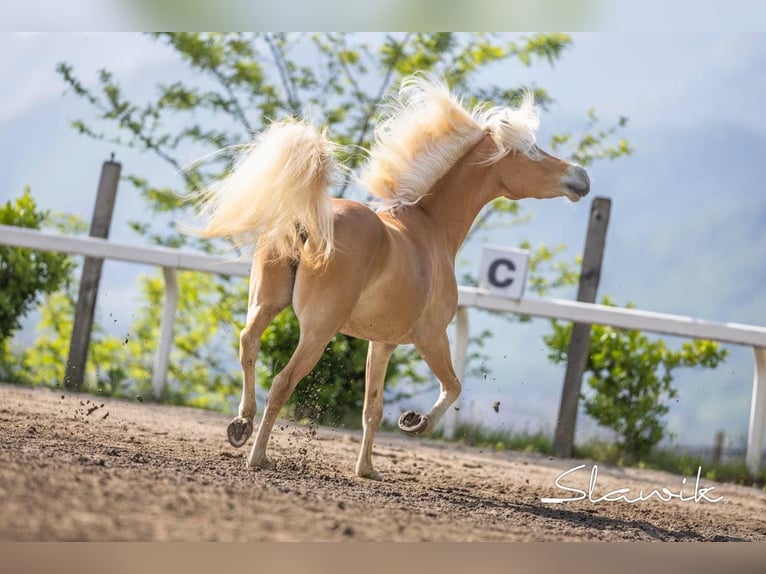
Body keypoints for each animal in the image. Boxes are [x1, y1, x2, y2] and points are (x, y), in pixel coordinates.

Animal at [196, 76, 588, 482]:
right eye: (532, 151)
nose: (581, 177)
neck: (430, 228)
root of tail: (307, 220)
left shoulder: (381, 343)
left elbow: (373, 409)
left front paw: (367, 469)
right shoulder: (430, 336)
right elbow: (453, 386)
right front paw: (415, 422)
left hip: (266, 304)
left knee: (248, 345)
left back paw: (241, 425)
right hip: (318, 330)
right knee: (282, 382)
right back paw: (257, 456)